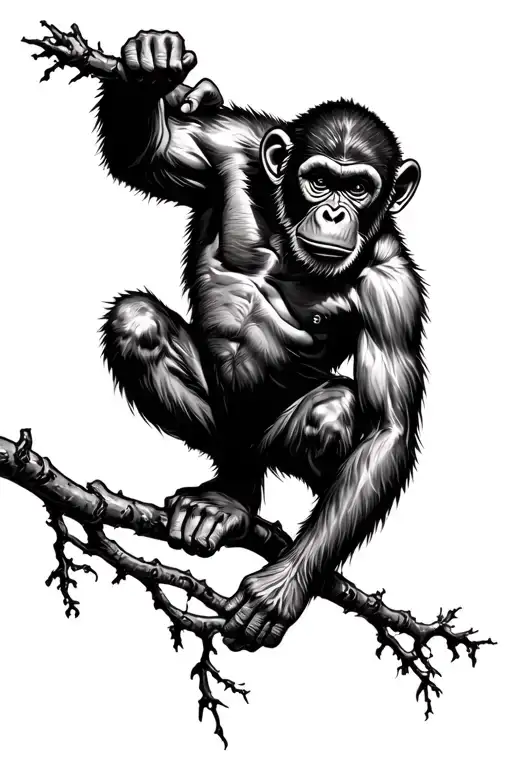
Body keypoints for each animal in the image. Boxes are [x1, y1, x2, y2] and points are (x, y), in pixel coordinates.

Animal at [97, 29, 426, 652]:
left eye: (359, 187)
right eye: (319, 179)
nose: (334, 211)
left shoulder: (393, 291)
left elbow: (388, 427)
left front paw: (281, 589)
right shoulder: (228, 147)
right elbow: (152, 156)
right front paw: (154, 65)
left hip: (275, 438)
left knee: (335, 409)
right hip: (228, 431)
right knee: (137, 324)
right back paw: (229, 497)